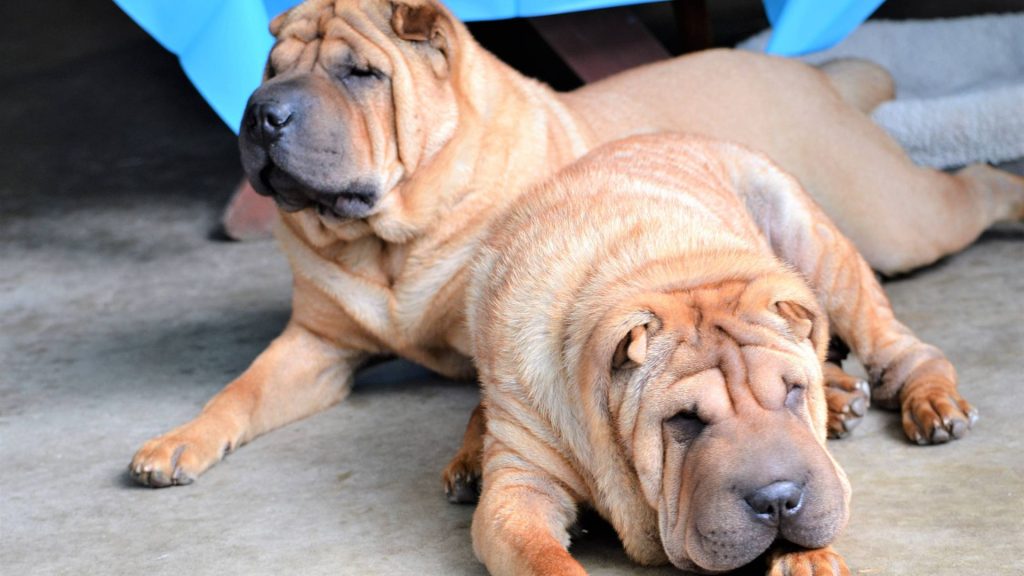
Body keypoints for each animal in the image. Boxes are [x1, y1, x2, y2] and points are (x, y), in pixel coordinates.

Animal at [130, 0, 1024, 506]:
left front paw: (472, 459)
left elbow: (481, 405)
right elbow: (241, 390)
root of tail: (809, 73)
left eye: (359, 74)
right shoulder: (315, 346)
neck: (392, 240)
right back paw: (839, 399)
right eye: (270, 68)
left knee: (963, 201)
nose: (261, 113)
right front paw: (177, 440)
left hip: (895, 222)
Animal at [468, 132, 962, 569]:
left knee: (902, 349)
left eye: (792, 391)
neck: (664, 275)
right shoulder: (518, 486)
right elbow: (545, 558)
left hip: (819, 252)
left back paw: (932, 405)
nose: (778, 499)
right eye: (684, 419)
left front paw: (811, 561)